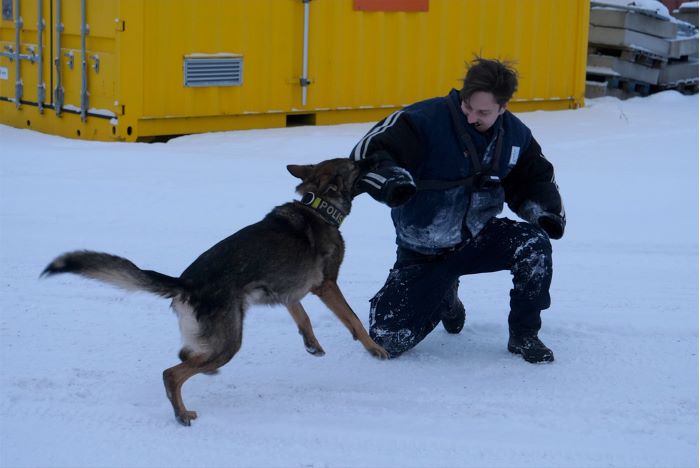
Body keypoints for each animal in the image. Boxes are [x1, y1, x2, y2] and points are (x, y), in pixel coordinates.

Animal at [41, 157, 388, 424]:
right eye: (355, 164)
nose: (373, 160)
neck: (318, 207)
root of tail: (185, 283)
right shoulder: (326, 285)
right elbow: (353, 320)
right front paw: (375, 349)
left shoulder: (288, 291)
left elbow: (302, 317)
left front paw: (312, 344)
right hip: (229, 343)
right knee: (172, 373)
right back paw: (182, 414)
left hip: (215, 339)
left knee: (185, 355)